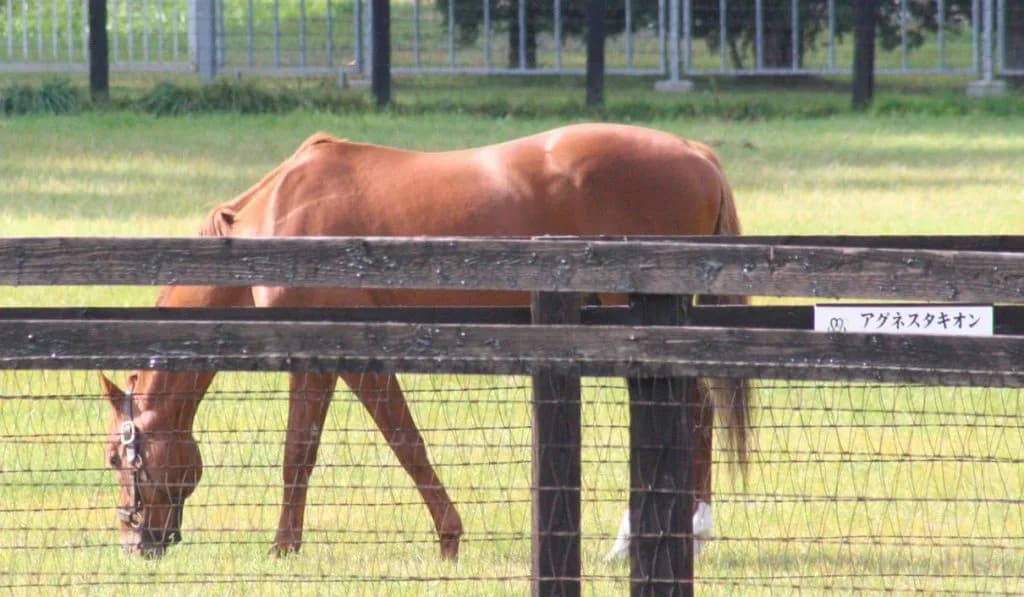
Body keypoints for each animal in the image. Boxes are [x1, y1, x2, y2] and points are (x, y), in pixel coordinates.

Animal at [98, 122, 751, 560]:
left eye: (114, 457)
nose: (135, 542)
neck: (279, 215)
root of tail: (695, 153)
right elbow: (351, 447)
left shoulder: (341, 358)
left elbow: (350, 449)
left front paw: (290, 548)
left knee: (694, 407)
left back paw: (673, 531)